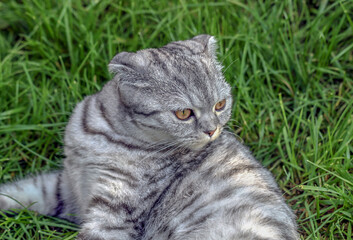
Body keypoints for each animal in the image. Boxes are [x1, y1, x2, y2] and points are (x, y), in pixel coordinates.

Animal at [0, 34, 298, 239]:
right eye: (183, 113)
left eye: (220, 105)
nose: (212, 129)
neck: (103, 135)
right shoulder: (66, 189)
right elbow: (19, 192)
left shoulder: (114, 214)